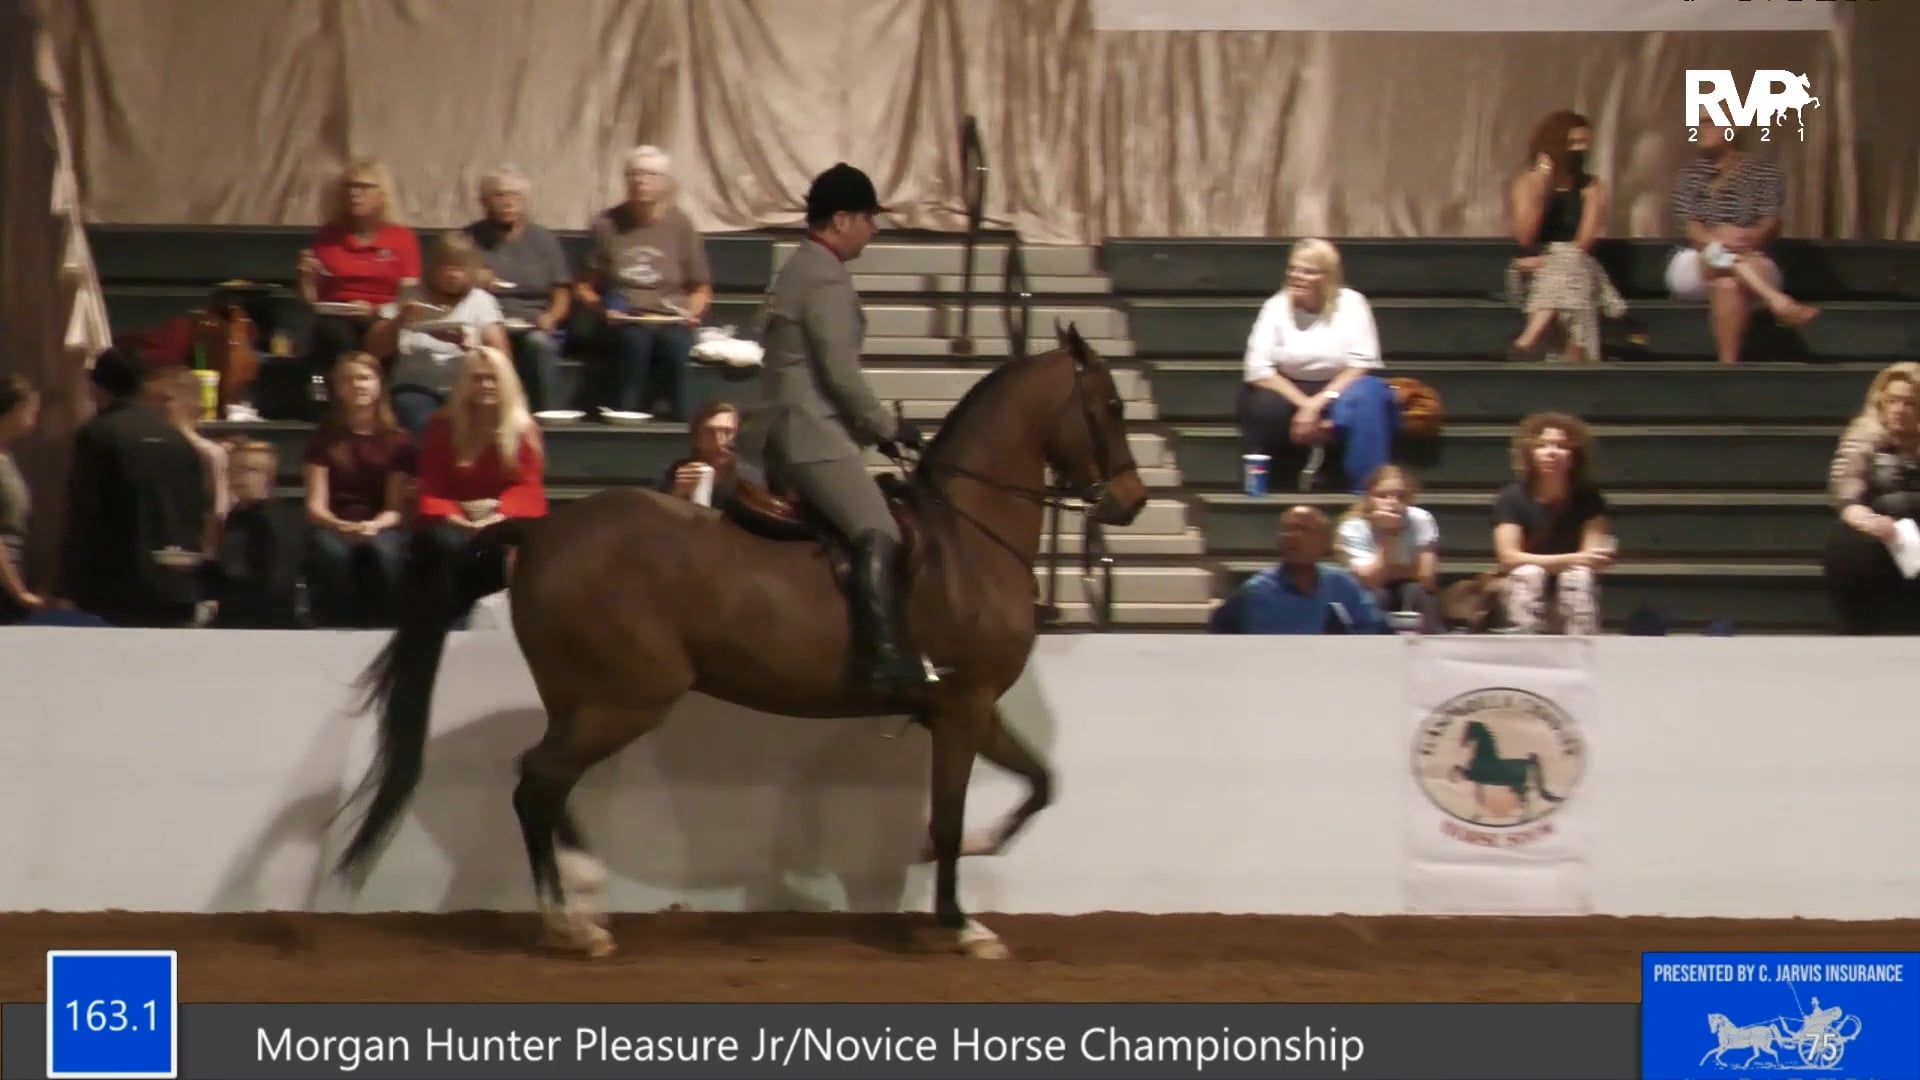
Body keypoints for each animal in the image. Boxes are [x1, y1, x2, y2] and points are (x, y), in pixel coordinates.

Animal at [330, 321, 1149, 961]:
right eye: (1110, 405)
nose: (1132, 501)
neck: (966, 537)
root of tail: (538, 531)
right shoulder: (961, 709)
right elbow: (948, 822)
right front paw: (961, 924)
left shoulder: (973, 708)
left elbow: (1042, 783)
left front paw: (976, 859)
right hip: (626, 700)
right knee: (537, 781)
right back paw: (572, 924)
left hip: (587, 701)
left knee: (546, 783)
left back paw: (585, 902)